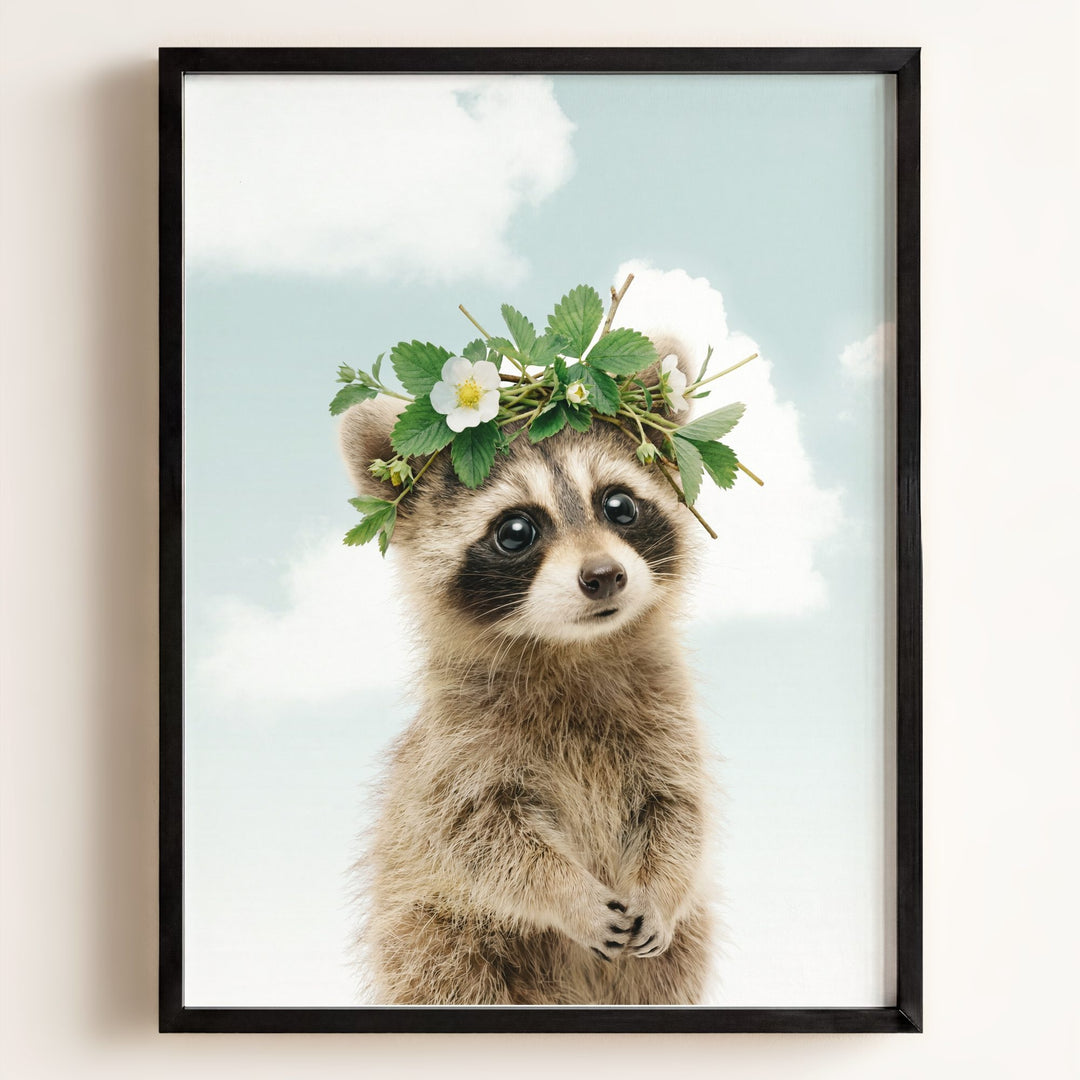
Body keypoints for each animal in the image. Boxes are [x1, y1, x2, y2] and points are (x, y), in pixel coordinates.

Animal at [339, 341, 713, 1005]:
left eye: (619, 504)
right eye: (516, 530)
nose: (604, 576)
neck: (573, 649)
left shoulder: (667, 716)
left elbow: (678, 810)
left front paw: (662, 887)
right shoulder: (457, 747)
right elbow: (483, 838)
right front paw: (569, 894)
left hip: (678, 953)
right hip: (434, 933)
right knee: (448, 974)